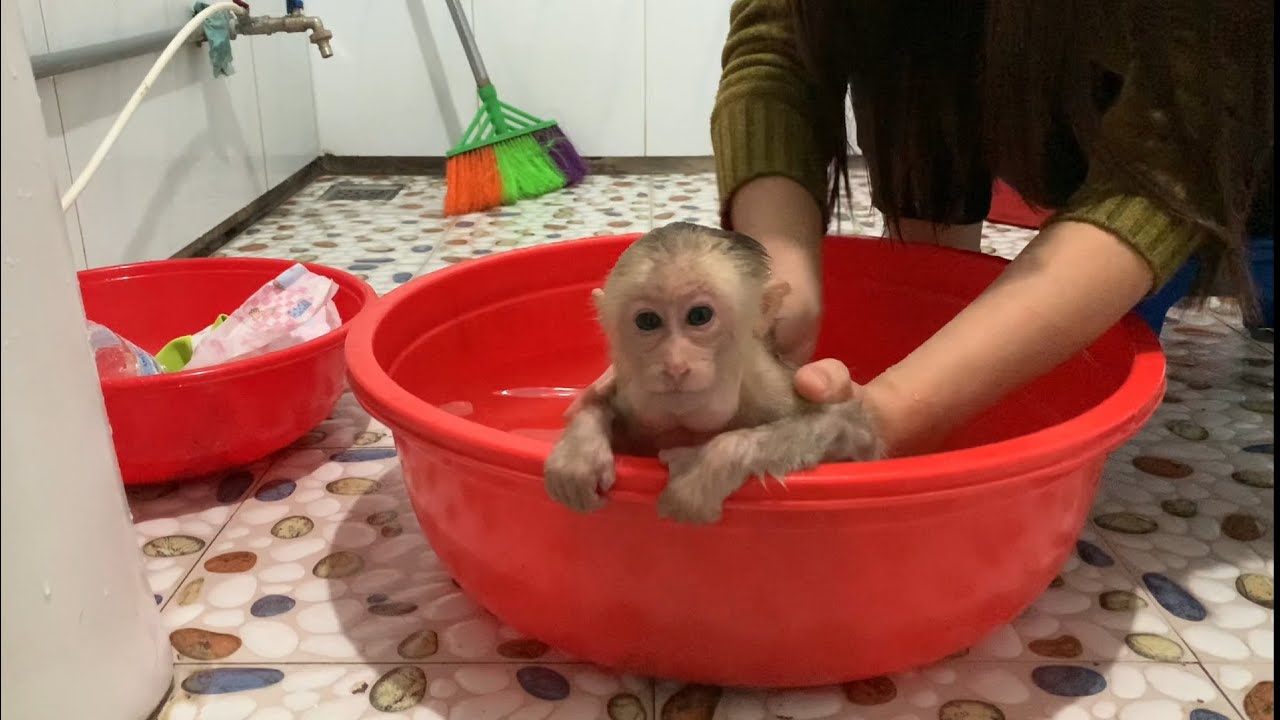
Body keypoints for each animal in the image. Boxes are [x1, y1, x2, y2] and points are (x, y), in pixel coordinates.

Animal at [543, 222, 884, 524]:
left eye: (699, 316)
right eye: (648, 321)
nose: (675, 365)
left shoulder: (769, 385)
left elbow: (854, 431)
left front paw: (704, 466)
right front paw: (581, 448)